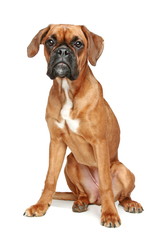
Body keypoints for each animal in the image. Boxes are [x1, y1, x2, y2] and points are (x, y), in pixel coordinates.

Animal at [24, 24, 144, 227]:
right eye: (50, 41)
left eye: (78, 43)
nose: (62, 51)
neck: (67, 90)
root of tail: (96, 199)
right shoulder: (56, 143)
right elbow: (50, 179)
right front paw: (40, 206)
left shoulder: (99, 143)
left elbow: (106, 184)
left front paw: (110, 214)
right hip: (71, 162)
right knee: (81, 193)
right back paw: (81, 202)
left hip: (123, 170)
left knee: (122, 196)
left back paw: (129, 203)